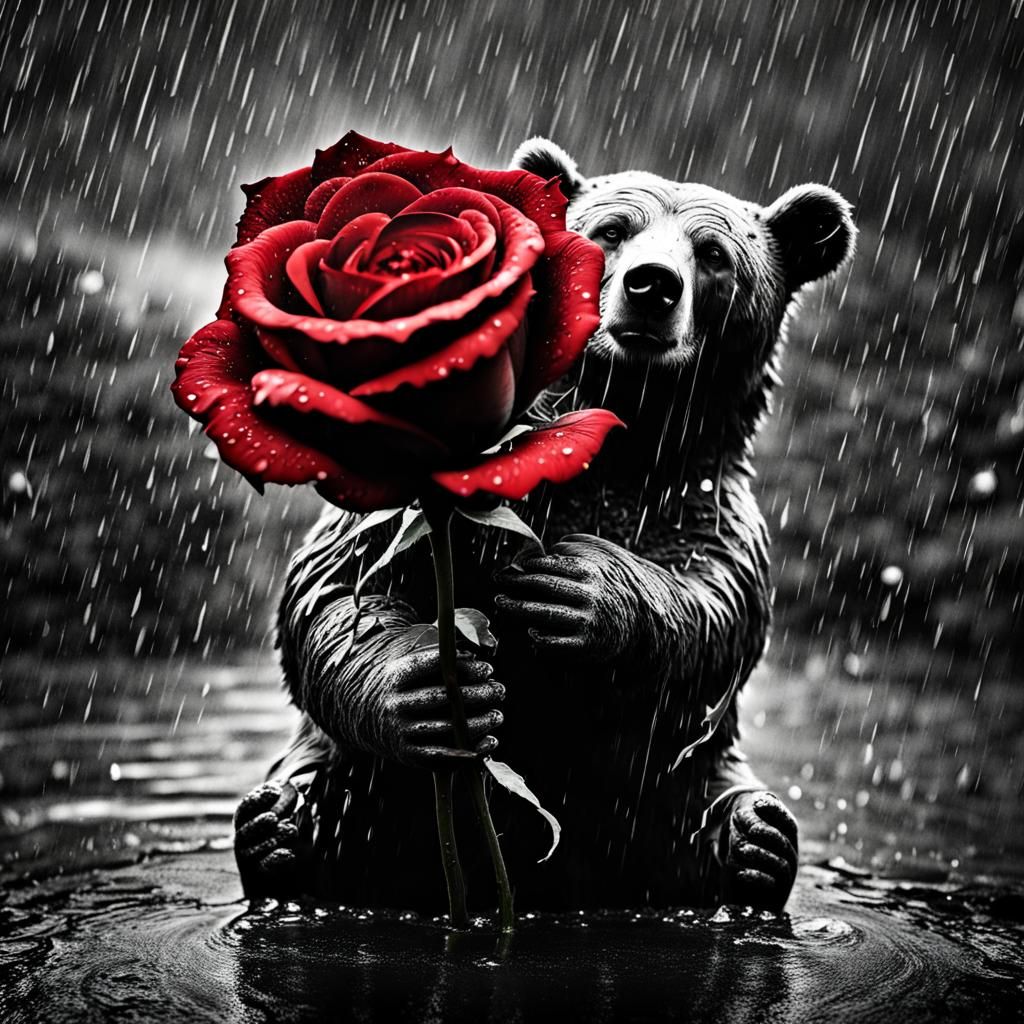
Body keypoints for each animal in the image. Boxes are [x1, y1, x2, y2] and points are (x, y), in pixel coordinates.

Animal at [232, 138, 855, 914]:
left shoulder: (708, 514)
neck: (623, 437)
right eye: (613, 230)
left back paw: (752, 849)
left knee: (739, 817)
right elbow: (340, 586)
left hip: (667, 803)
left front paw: (574, 588)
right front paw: (435, 691)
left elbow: (710, 620)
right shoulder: (431, 489)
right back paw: (279, 839)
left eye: (713, 253)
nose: (652, 286)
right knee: (308, 801)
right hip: (360, 797)